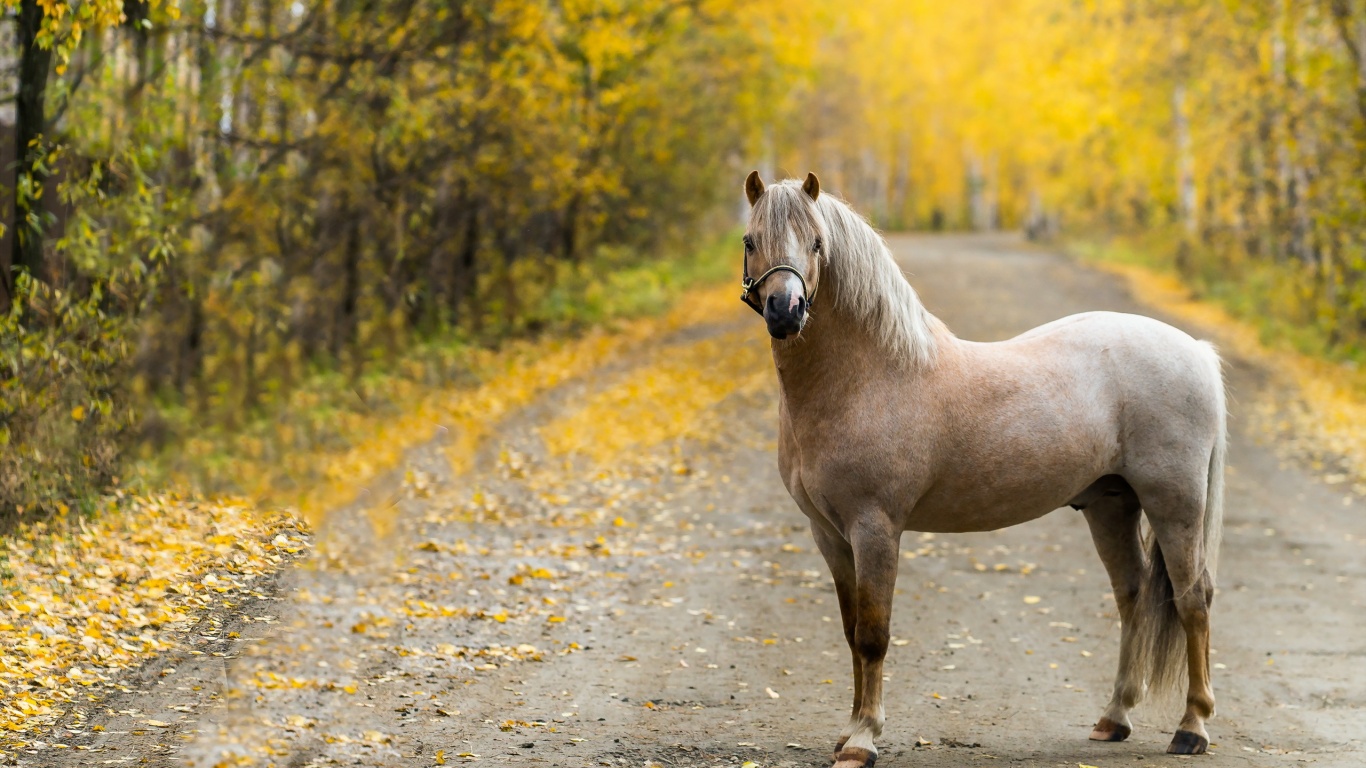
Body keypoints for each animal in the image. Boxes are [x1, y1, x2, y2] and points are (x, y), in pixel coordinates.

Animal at [743, 172, 1234, 765]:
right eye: (750, 241)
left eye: (817, 244)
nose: (785, 311)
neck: (870, 377)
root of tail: (1196, 351)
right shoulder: (829, 535)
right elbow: (850, 630)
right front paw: (848, 733)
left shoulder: (875, 529)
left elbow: (872, 635)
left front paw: (863, 738)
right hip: (1110, 505)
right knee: (1133, 593)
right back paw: (1113, 718)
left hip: (1175, 503)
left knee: (1193, 599)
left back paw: (1192, 727)